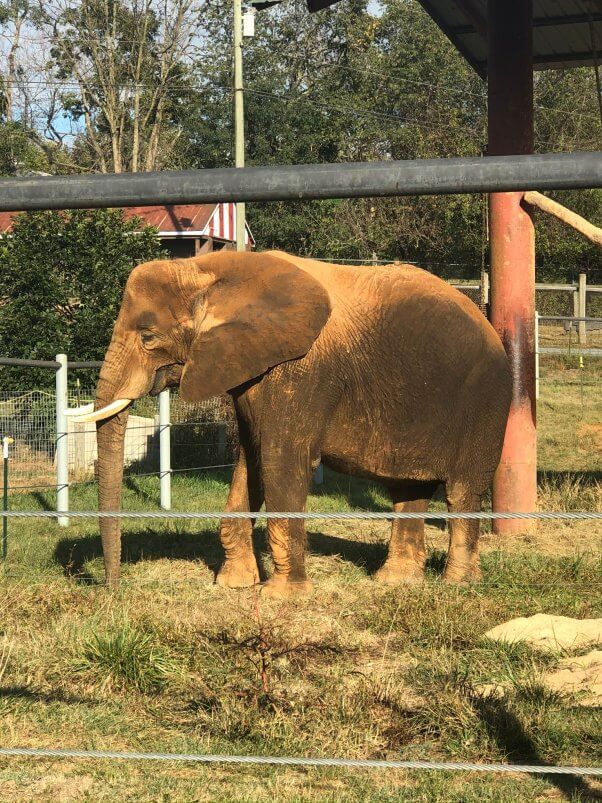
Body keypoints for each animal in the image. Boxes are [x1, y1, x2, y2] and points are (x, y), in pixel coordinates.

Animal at [70, 251, 510, 596]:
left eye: (147, 337)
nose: (115, 590)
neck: (211, 268)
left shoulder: (301, 370)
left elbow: (281, 459)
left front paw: (279, 596)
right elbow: (252, 460)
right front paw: (233, 585)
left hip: (485, 403)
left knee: (461, 492)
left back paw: (457, 585)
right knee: (407, 490)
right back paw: (395, 582)